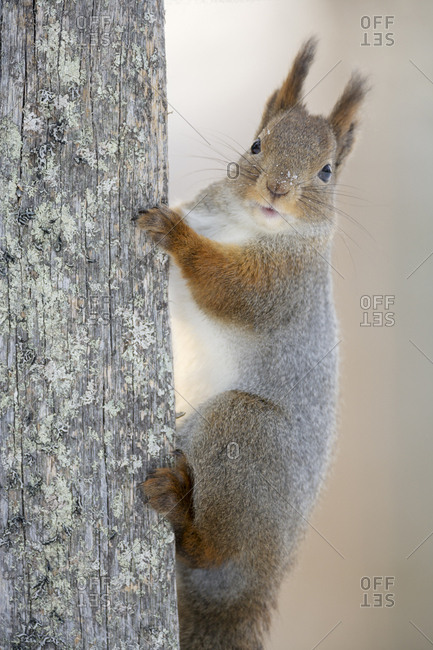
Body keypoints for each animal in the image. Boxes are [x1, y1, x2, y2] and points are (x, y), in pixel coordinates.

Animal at [138, 37, 368, 650]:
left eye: (326, 172)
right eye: (256, 143)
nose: (277, 189)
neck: (246, 226)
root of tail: (262, 581)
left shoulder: (281, 289)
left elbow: (230, 289)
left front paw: (175, 235)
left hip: (246, 437)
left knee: (211, 547)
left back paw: (179, 507)